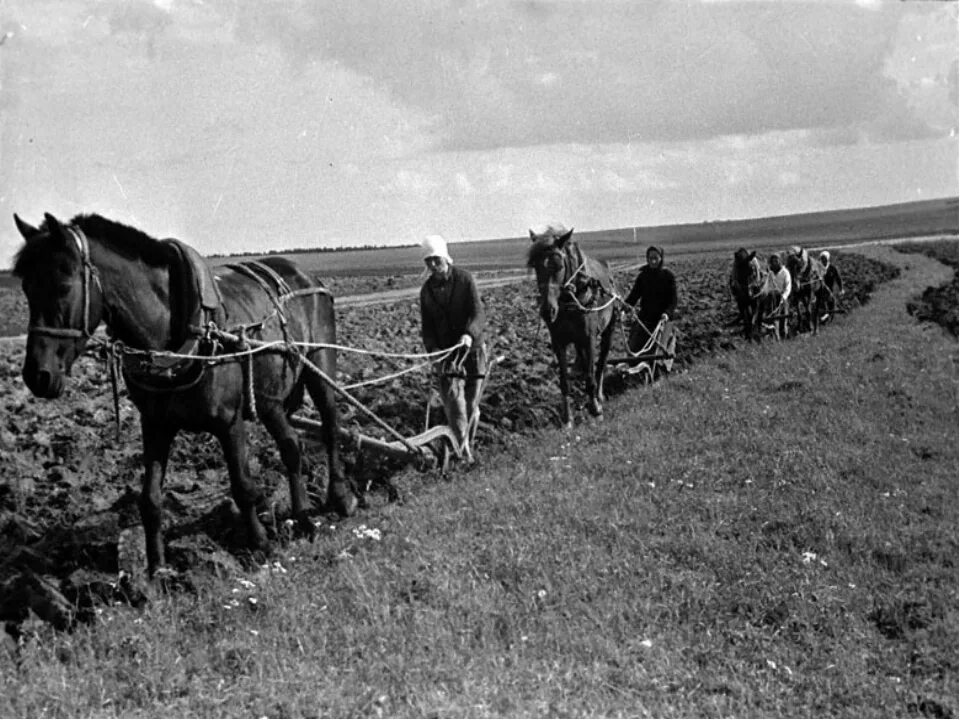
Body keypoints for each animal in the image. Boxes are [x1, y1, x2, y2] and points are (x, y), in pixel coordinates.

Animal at [13, 211, 358, 576]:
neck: (172, 334)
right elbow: (150, 498)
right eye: (26, 288)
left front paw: (260, 546)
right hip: (270, 399)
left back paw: (339, 498)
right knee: (291, 446)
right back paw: (302, 516)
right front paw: (156, 568)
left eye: (63, 285)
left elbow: (242, 485)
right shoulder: (155, 425)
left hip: (319, 368)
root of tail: (305, 274)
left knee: (330, 427)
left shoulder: (229, 423)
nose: (38, 375)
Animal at [524, 228, 616, 424]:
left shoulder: (589, 338)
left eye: (559, 266)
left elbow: (591, 375)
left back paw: (599, 395)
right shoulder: (559, 342)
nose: (547, 311)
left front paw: (595, 408)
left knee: (601, 362)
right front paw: (567, 418)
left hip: (608, 330)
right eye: (535, 267)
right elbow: (564, 380)